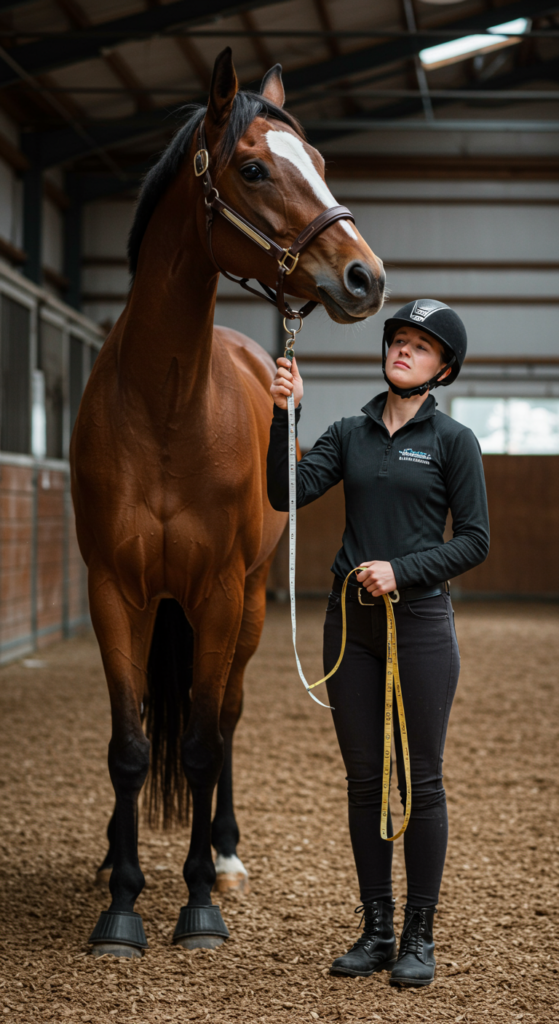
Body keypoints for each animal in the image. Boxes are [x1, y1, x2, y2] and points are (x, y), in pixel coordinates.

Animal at [71, 47, 385, 958]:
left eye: (318, 162)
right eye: (253, 168)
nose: (365, 277)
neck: (165, 406)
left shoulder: (214, 594)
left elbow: (206, 746)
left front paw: (200, 902)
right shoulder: (114, 591)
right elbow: (130, 746)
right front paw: (122, 903)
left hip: (244, 605)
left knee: (231, 717)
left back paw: (225, 852)